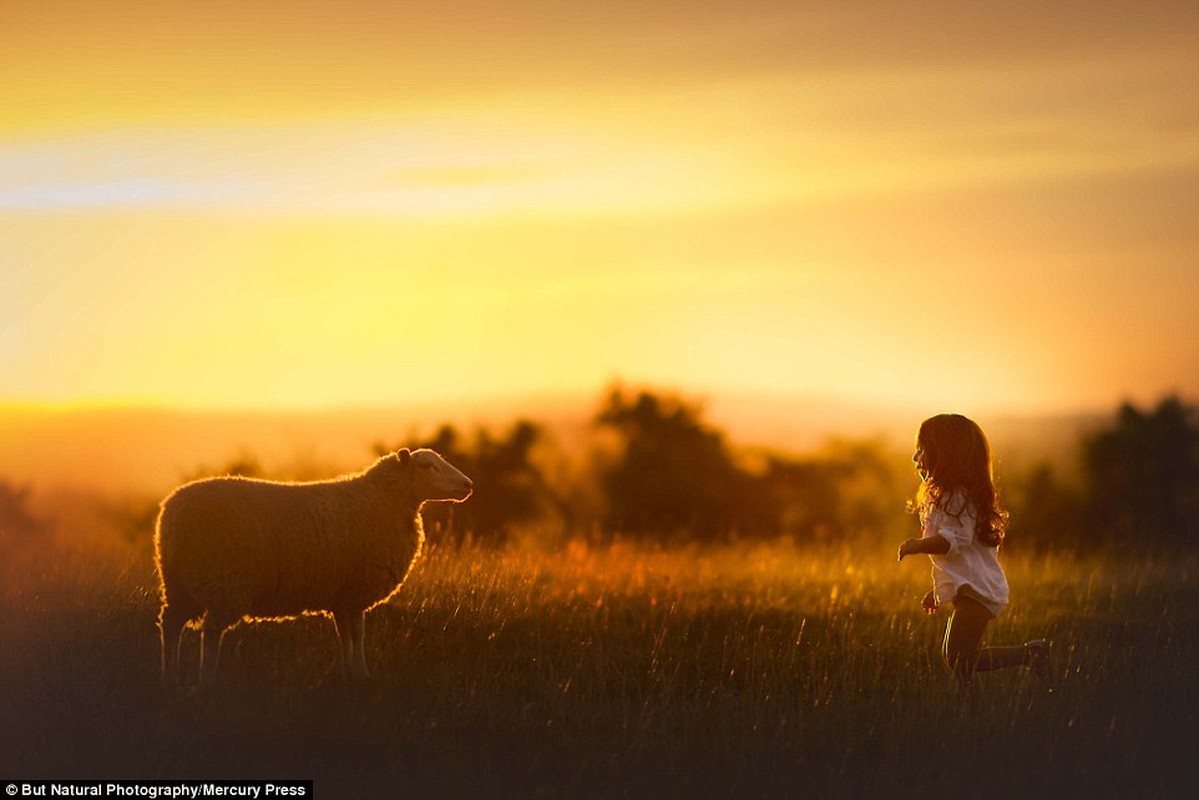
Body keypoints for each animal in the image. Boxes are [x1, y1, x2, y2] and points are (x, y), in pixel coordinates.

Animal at [149, 450, 467, 690]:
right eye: (428, 466)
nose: (469, 485)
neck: (386, 501)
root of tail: (171, 513)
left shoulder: (342, 596)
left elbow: (344, 635)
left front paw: (348, 673)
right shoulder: (356, 592)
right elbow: (358, 634)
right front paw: (363, 673)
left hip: (180, 584)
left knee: (171, 625)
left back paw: (169, 677)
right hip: (225, 582)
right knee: (211, 631)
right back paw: (206, 681)